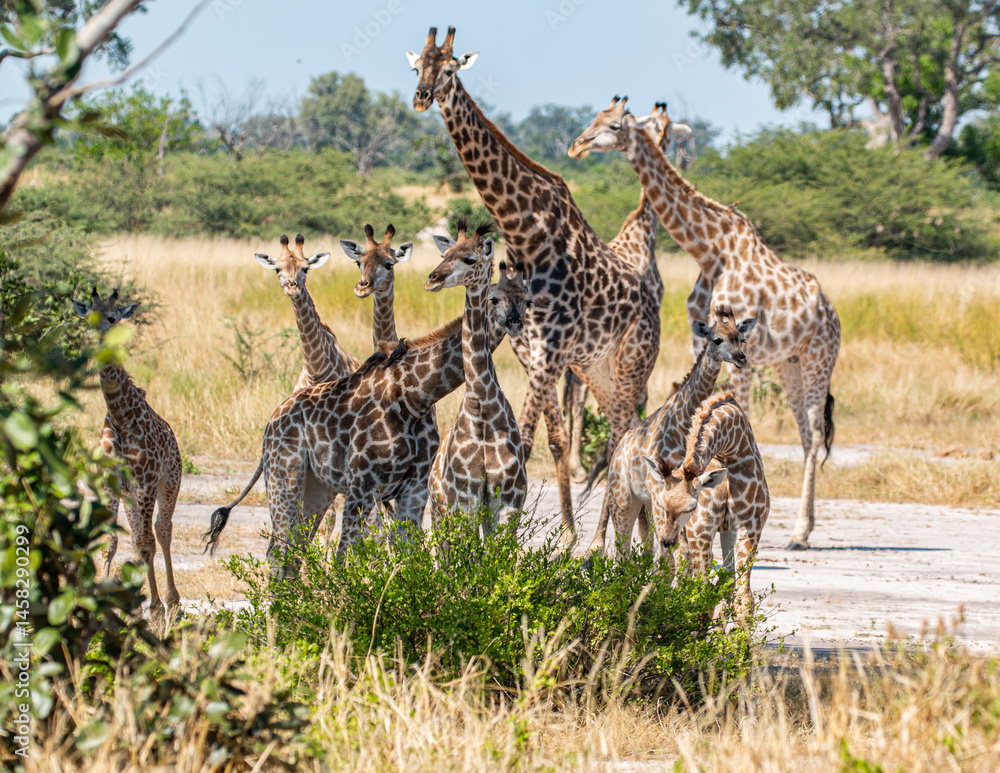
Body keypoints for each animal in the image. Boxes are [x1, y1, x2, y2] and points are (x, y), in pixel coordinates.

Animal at [72, 289, 181, 618]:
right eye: (87, 315)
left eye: (112, 317)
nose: (96, 337)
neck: (121, 417)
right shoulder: (109, 483)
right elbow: (111, 541)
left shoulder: (146, 482)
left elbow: (147, 543)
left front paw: (155, 608)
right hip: (129, 495)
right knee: (135, 537)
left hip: (169, 483)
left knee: (162, 530)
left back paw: (172, 601)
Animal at [203, 268, 530, 566]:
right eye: (494, 298)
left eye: (527, 300)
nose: (515, 322)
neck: (415, 394)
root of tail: (271, 422)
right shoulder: (362, 486)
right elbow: (345, 558)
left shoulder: (412, 489)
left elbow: (407, 558)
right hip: (284, 477)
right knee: (278, 550)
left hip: (316, 488)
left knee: (295, 549)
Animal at [425, 219, 527, 528]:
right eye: (444, 254)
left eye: (470, 259)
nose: (432, 279)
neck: (481, 406)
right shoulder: (463, 498)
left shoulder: (507, 501)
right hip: (440, 509)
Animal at [587, 305, 756, 557]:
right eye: (716, 339)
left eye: (741, 338)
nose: (740, 358)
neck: (681, 422)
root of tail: (621, 443)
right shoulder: (661, 488)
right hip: (626, 495)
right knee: (623, 543)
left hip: (645, 501)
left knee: (645, 539)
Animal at [644, 387, 770, 617]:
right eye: (663, 504)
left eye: (691, 507)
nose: (668, 540)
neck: (731, 449)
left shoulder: (744, 527)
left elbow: (733, 592)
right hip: (692, 532)